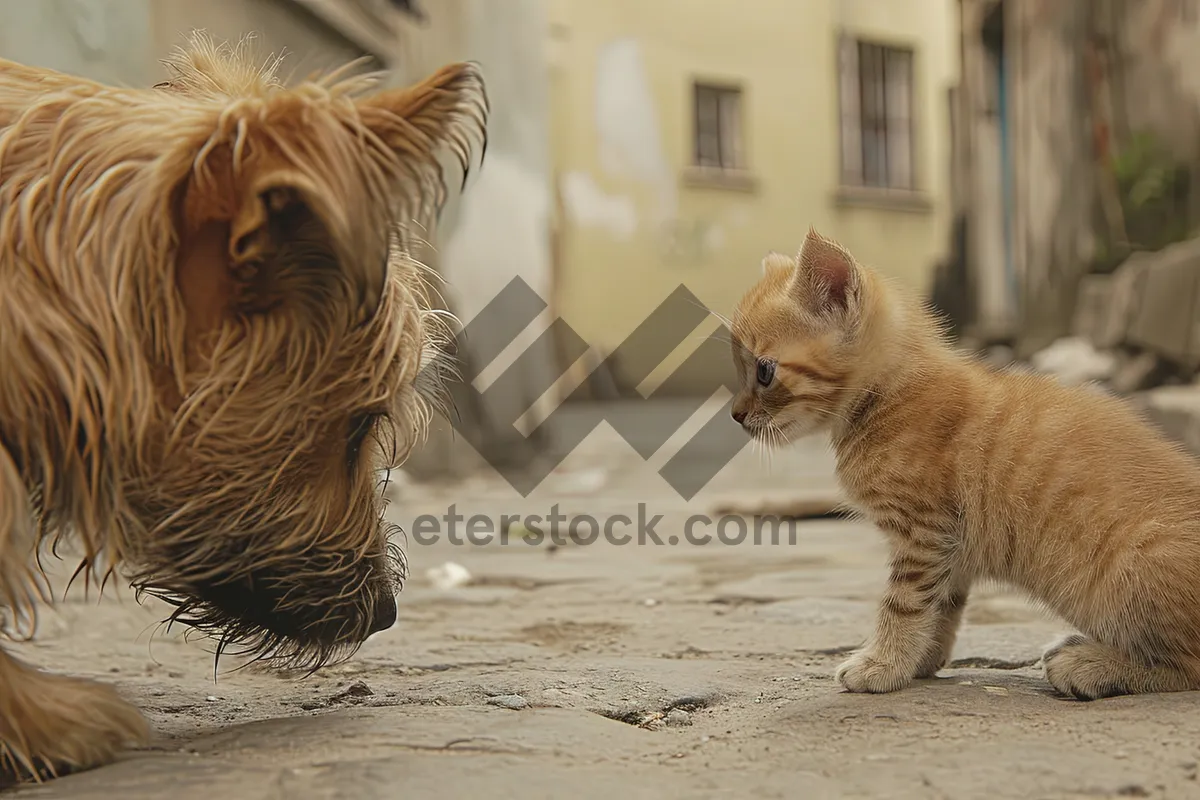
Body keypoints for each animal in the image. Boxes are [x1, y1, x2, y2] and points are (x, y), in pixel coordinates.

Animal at [724, 227, 1200, 695]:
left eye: (763, 371)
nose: (735, 415)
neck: (887, 395)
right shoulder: (951, 544)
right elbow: (944, 604)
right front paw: (920, 661)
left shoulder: (924, 532)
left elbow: (903, 604)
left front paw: (882, 664)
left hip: (1132, 569)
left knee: (1189, 667)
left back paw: (1088, 665)